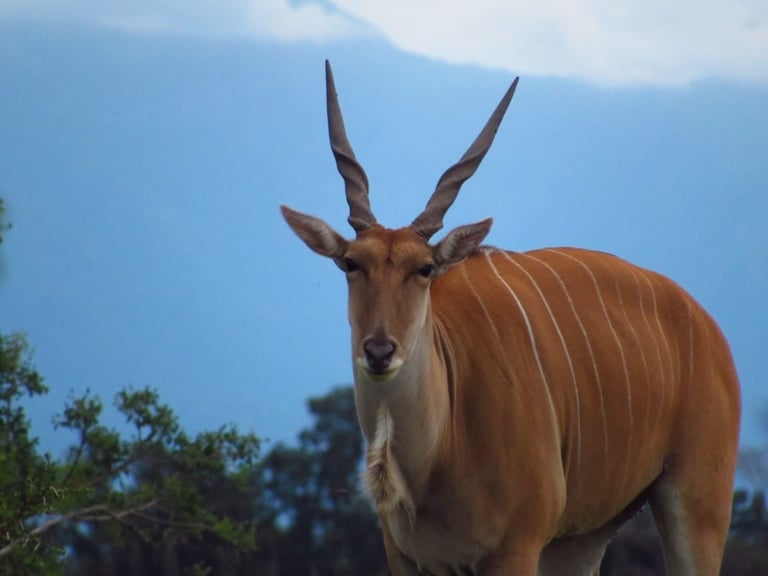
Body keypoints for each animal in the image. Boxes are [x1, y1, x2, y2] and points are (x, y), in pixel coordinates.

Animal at [280, 62, 741, 576]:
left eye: (425, 268)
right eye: (350, 263)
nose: (379, 351)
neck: (441, 453)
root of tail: (703, 321)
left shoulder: (515, 548)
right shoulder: (403, 556)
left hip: (699, 499)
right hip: (581, 537)